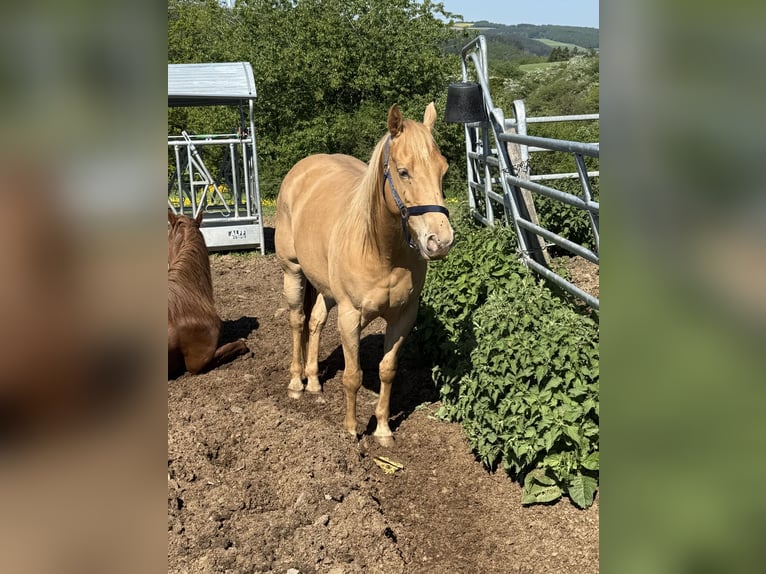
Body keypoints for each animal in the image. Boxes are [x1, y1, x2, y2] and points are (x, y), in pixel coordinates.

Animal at [275, 103, 454, 446]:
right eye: (403, 171)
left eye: (443, 170)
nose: (440, 241)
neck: (381, 251)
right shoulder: (350, 316)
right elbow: (353, 375)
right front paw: (351, 430)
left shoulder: (403, 317)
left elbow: (387, 370)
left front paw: (383, 429)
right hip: (293, 272)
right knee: (297, 321)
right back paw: (296, 383)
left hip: (325, 288)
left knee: (315, 321)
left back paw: (313, 381)